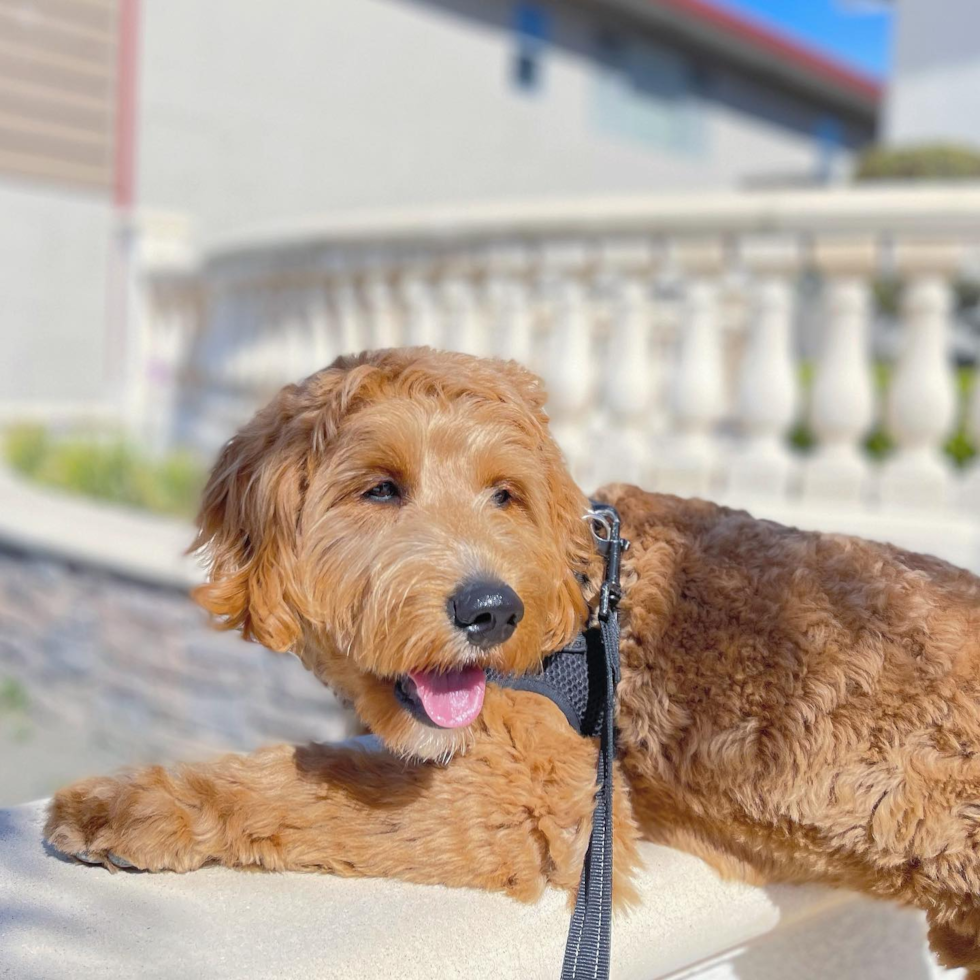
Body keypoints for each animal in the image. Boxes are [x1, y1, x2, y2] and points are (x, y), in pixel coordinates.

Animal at [49, 350, 980, 972]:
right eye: (379, 488)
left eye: (506, 493)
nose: (491, 611)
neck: (586, 589)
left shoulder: (539, 798)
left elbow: (307, 788)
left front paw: (135, 805)